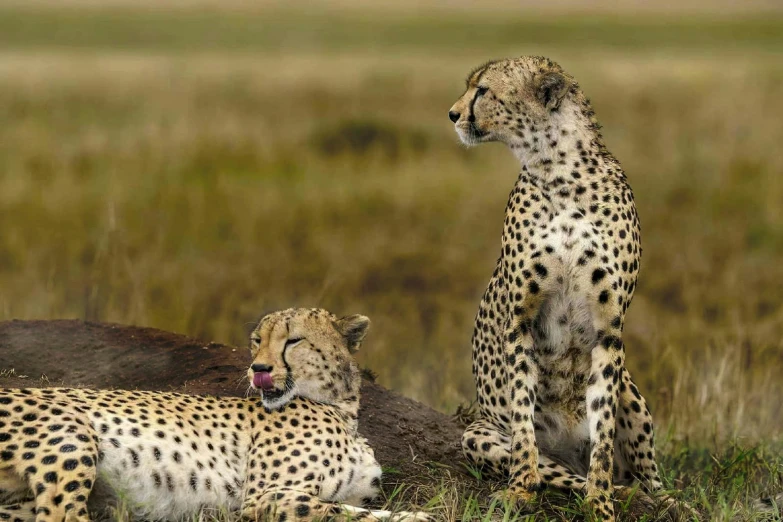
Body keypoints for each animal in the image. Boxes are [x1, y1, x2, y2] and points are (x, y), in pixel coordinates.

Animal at [0, 306, 428, 516]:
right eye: (257, 340)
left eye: (293, 341)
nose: (258, 368)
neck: (342, 408)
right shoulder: (266, 496)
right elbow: (351, 515)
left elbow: (363, 511)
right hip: (70, 434)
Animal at [450, 54, 664, 516]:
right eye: (471, 86)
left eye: (483, 90)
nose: (453, 114)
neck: (558, 170)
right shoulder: (521, 320)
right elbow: (522, 412)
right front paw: (519, 488)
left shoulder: (608, 328)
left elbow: (603, 424)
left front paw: (600, 503)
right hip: (477, 431)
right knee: (561, 474)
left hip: (631, 391)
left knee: (644, 476)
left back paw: (644, 495)